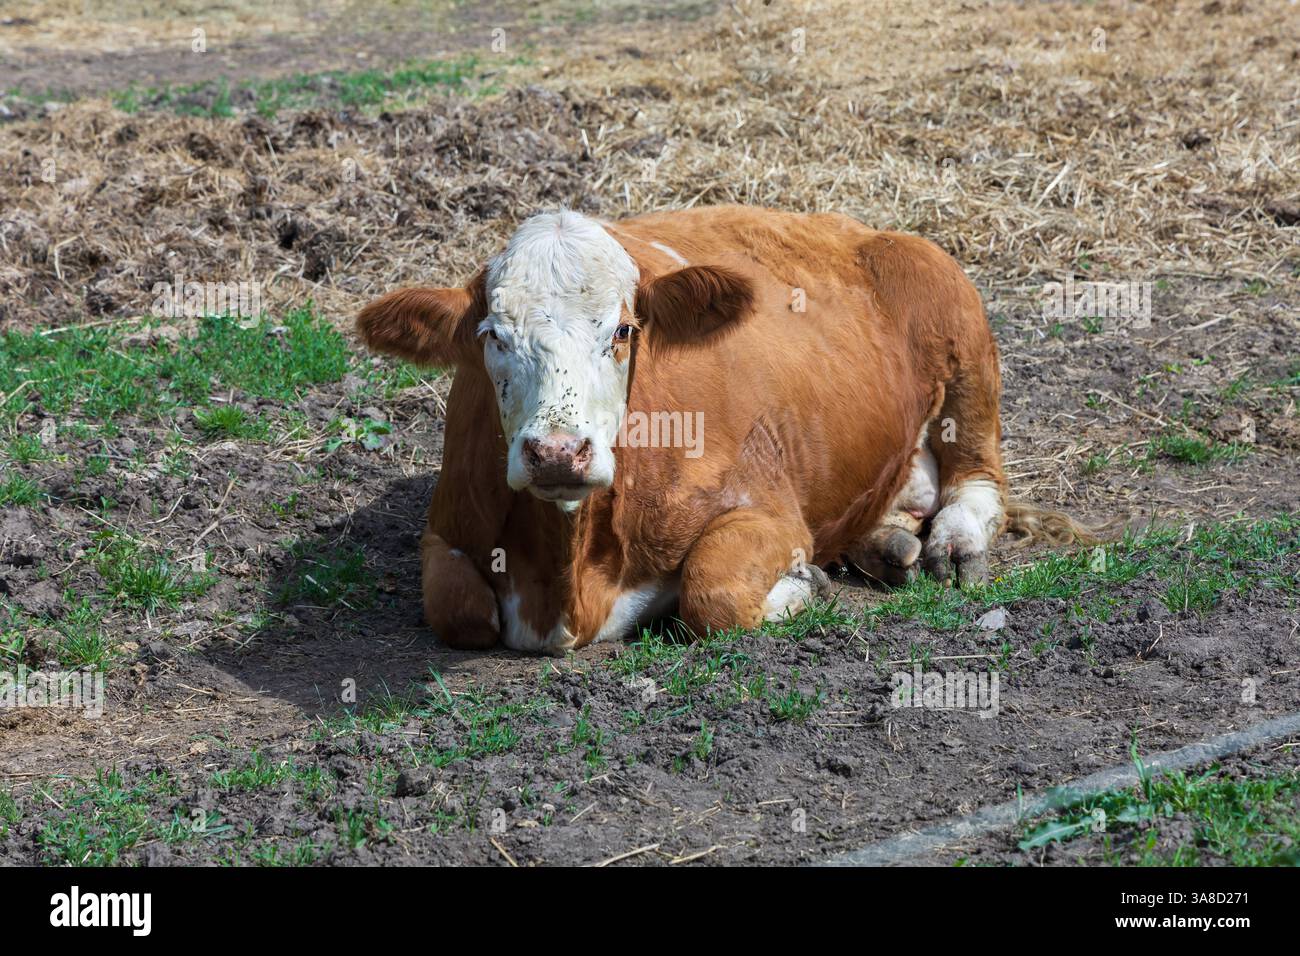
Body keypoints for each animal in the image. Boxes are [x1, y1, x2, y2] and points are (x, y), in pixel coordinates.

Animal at [357, 206, 1061, 654]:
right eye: (492, 337)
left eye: (623, 329)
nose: (558, 453)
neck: (567, 582)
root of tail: (857, 228)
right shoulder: (446, 526)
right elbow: (458, 608)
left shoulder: (766, 508)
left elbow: (712, 593)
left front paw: (800, 585)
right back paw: (886, 544)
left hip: (959, 330)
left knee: (978, 475)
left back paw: (952, 541)